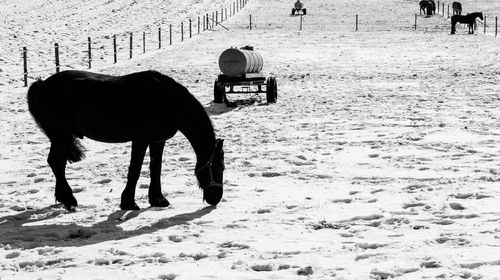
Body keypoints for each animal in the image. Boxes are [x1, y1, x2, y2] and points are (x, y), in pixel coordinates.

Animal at [25, 70, 225, 212]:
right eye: (218, 167)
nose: (216, 198)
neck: (166, 101)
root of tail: (42, 84)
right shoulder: (140, 140)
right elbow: (135, 170)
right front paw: (128, 202)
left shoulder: (157, 141)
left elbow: (156, 169)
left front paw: (157, 199)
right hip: (61, 136)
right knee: (55, 162)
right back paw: (69, 200)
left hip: (63, 138)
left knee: (58, 163)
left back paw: (63, 198)